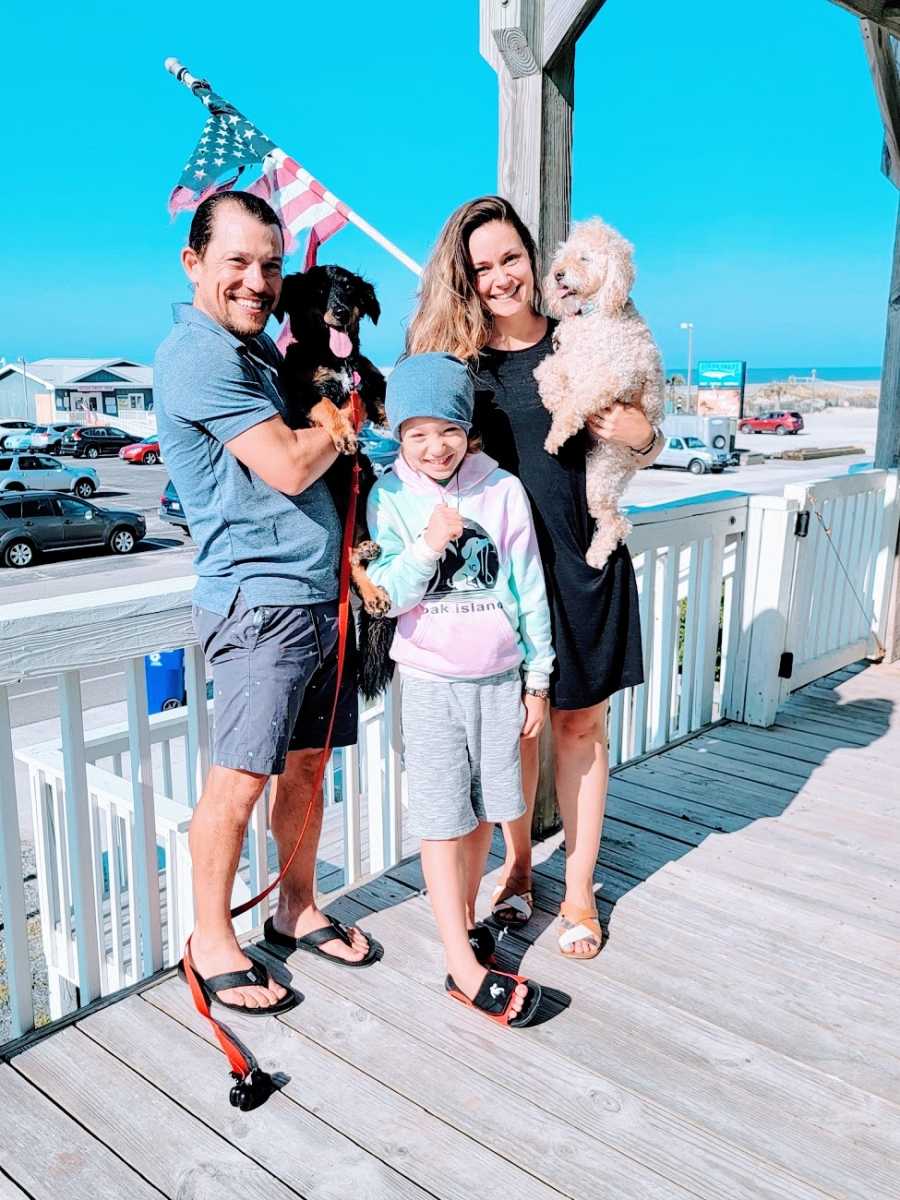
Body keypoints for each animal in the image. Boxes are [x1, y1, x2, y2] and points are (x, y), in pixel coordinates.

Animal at [277, 262, 396, 696]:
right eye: (317, 290)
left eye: (348, 288)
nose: (341, 312)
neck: (335, 358)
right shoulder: (300, 396)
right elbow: (327, 403)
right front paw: (345, 431)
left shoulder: (370, 380)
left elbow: (385, 399)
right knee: (345, 562)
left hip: (366, 494)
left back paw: (372, 577)